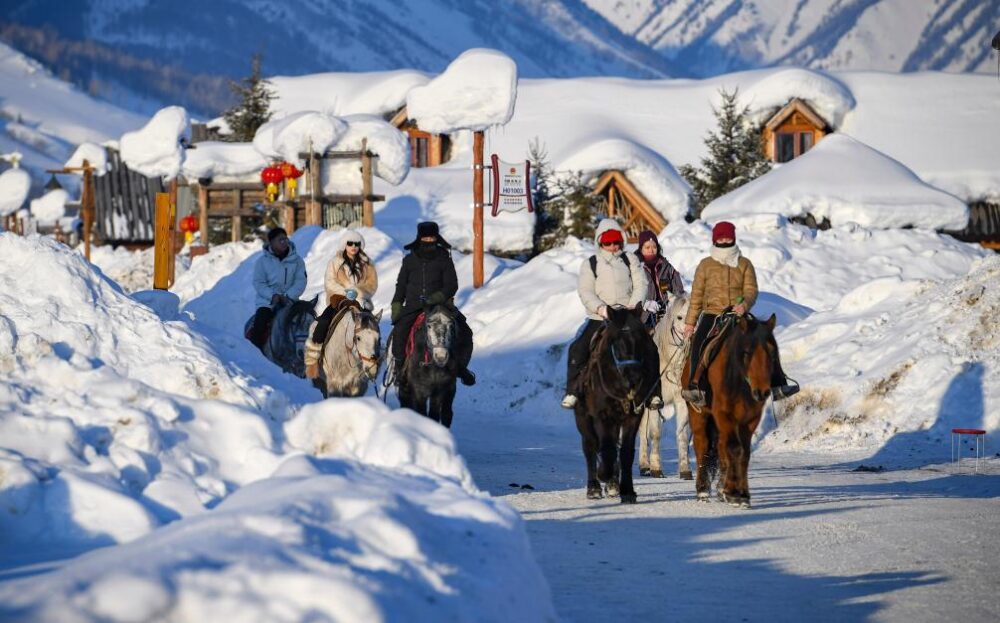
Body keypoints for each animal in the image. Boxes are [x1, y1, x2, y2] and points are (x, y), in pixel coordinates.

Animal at [576, 308, 660, 508]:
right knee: (590, 446)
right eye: (615, 342)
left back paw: (613, 484)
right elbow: (605, 448)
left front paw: (627, 491)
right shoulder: (602, 416)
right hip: (583, 418)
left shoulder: (633, 417)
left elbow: (625, 452)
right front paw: (603, 474)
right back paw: (594, 487)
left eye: (641, 339)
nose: (634, 376)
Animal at [636, 294, 692, 480]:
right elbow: (655, 434)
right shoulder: (654, 402)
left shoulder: (681, 401)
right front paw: (656, 468)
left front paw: (685, 469)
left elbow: (682, 434)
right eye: (679, 317)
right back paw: (644, 465)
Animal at [684, 314, 784, 510]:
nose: (762, 392)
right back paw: (702, 490)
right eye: (746, 352)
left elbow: (744, 452)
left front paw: (741, 494)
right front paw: (734, 494)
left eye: (772, 352)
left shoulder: (750, 419)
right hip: (699, 415)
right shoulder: (724, 415)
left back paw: (720, 489)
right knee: (702, 445)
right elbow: (734, 448)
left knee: (720, 447)